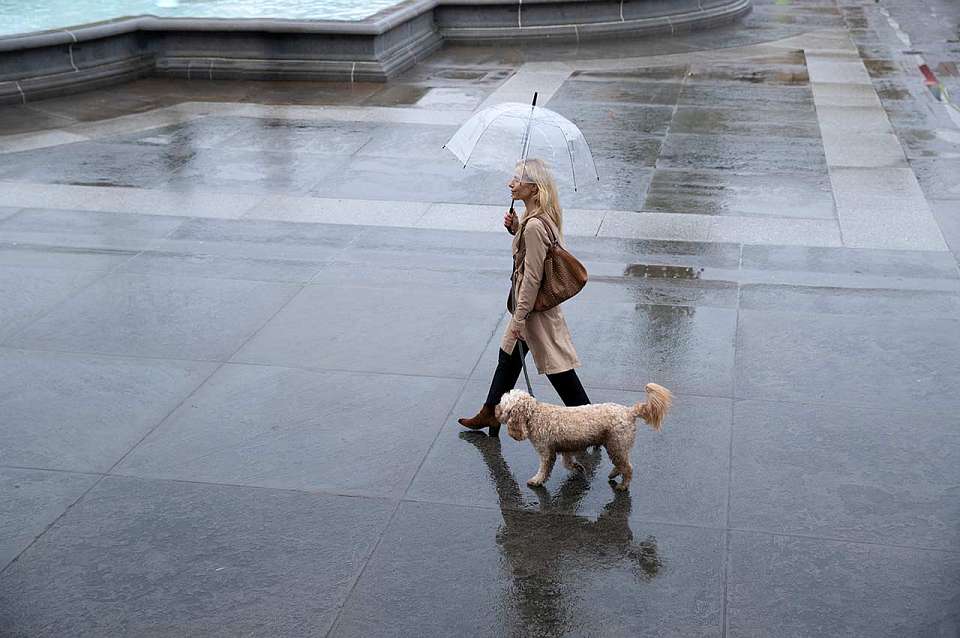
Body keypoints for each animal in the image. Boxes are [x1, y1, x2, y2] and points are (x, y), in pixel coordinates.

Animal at [498, 384, 672, 496]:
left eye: (502, 404)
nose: (495, 410)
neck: (534, 414)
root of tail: (629, 411)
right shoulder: (566, 448)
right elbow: (567, 463)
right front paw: (578, 467)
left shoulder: (546, 451)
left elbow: (544, 469)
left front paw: (536, 480)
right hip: (615, 445)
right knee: (622, 464)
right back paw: (614, 474)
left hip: (616, 445)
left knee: (627, 467)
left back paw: (623, 485)